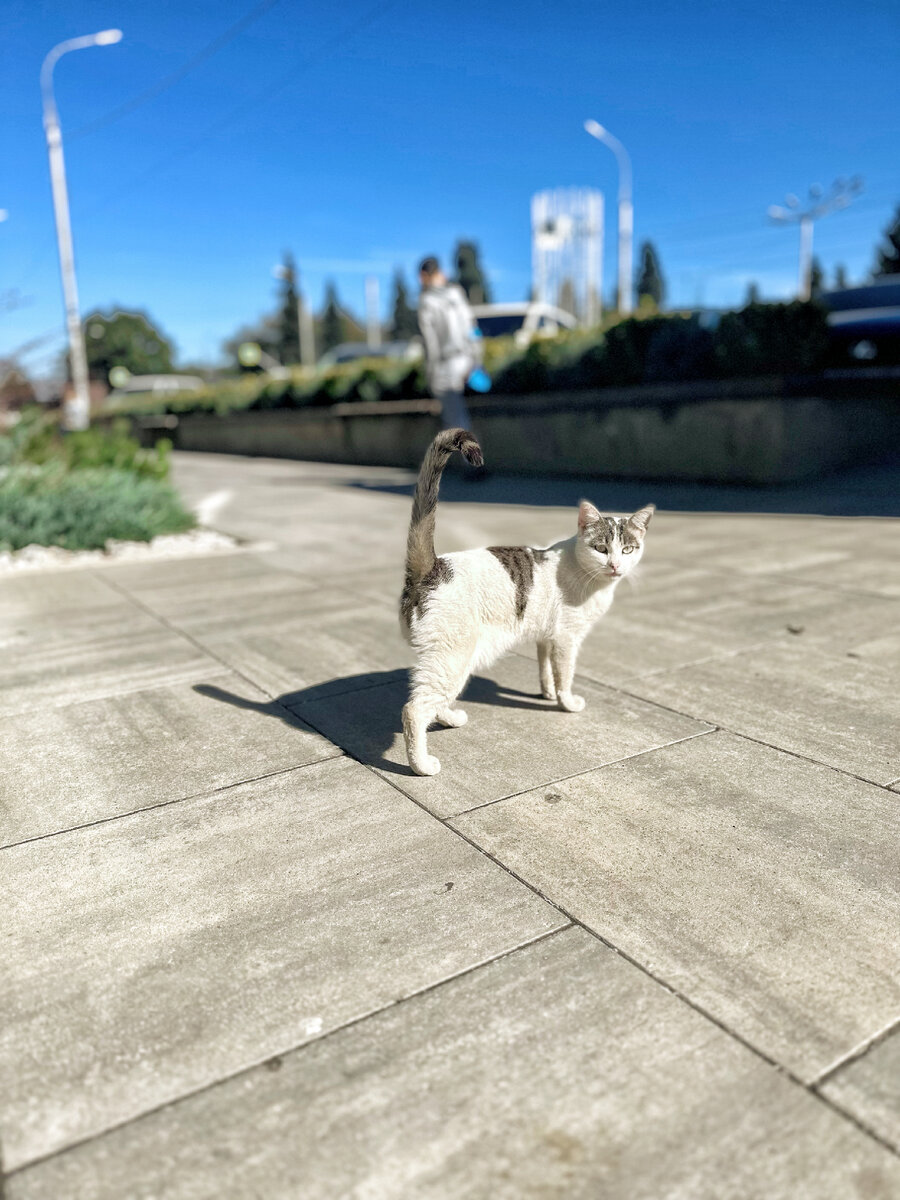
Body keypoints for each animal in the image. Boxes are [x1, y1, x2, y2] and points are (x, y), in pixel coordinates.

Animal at [400, 432, 657, 777]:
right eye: (601, 549)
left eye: (628, 549)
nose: (615, 565)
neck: (584, 573)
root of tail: (432, 567)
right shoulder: (567, 638)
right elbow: (566, 674)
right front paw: (567, 703)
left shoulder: (547, 637)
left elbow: (546, 669)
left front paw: (548, 694)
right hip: (452, 658)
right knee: (414, 709)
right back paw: (422, 765)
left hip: (454, 659)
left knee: (433, 702)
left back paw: (451, 719)